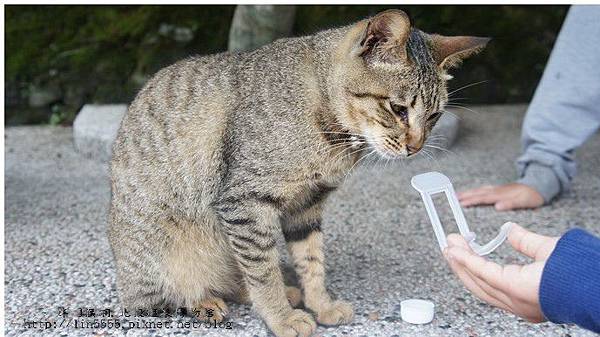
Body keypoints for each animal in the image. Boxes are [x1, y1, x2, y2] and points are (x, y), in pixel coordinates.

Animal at [109, 9, 488, 334]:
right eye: (398, 109)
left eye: (434, 116)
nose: (416, 147)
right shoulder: (244, 204)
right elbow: (262, 272)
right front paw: (281, 318)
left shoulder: (307, 206)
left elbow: (311, 261)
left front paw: (320, 304)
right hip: (162, 254)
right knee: (167, 295)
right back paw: (204, 301)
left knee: (238, 277)